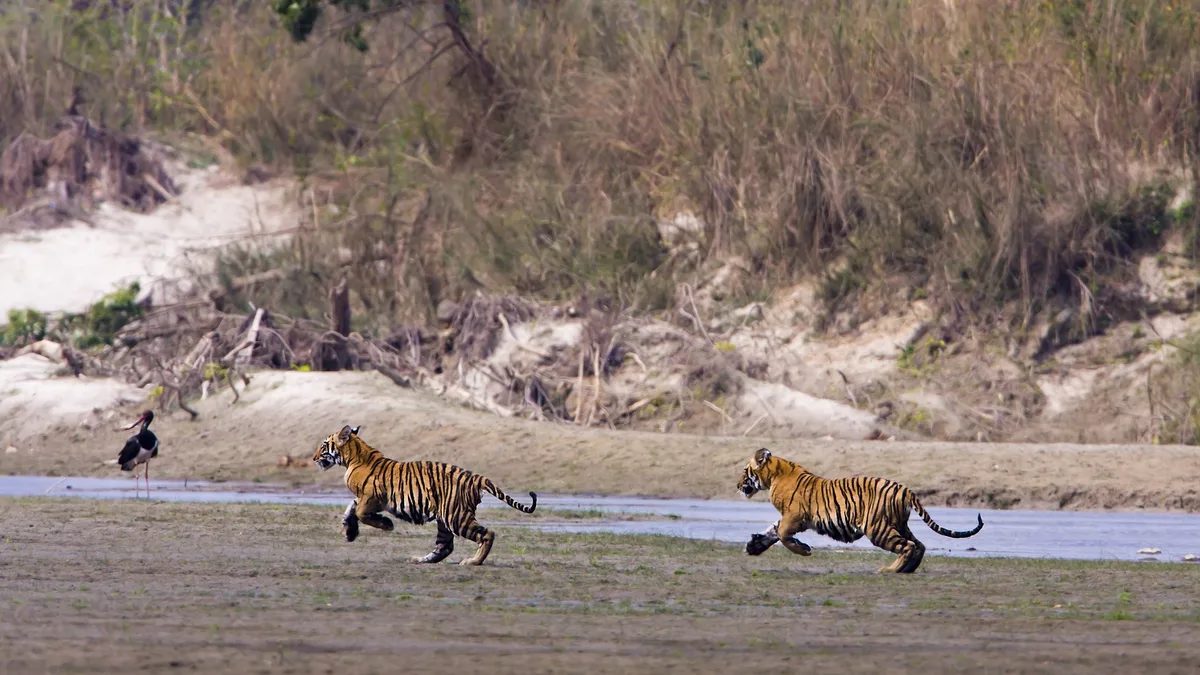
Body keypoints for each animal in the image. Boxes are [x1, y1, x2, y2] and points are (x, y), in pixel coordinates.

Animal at [313, 425, 537, 566]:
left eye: (323, 445)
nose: (313, 458)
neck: (353, 457)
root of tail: (476, 477)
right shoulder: (365, 498)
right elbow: (351, 508)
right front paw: (349, 531)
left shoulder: (371, 497)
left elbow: (360, 512)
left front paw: (386, 524)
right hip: (445, 519)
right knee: (445, 547)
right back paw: (420, 560)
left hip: (456, 517)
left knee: (487, 534)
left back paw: (473, 562)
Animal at [736, 447, 984, 573]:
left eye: (745, 471)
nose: (737, 485)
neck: (775, 475)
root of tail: (905, 489)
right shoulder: (790, 518)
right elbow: (773, 531)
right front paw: (753, 546)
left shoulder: (795, 516)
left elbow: (783, 534)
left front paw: (803, 550)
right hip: (897, 524)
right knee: (919, 545)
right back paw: (907, 569)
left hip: (877, 528)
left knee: (908, 546)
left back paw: (890, 570)